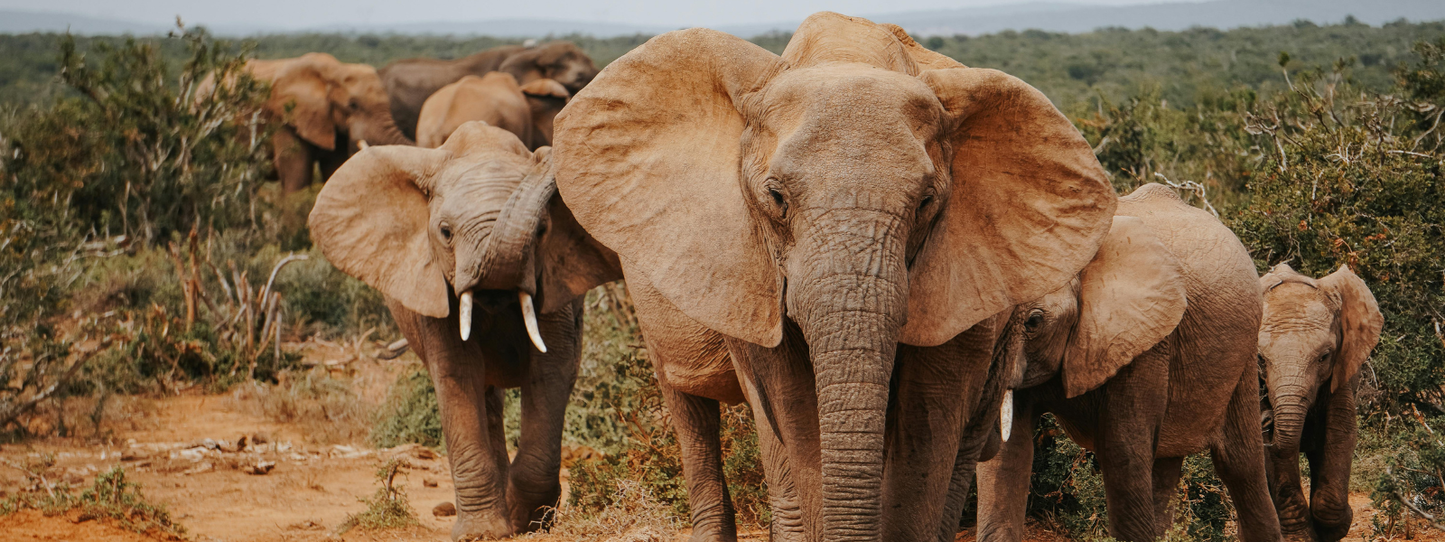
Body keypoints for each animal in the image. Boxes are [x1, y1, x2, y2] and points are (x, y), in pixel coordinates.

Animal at [307, 122, 620, 540]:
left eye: (542, 230)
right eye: (445, 232)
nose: (548, 155)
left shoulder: (553, 284)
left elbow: (551, 370)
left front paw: (526, 522)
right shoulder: (434, 287)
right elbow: (457, 375)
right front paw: (483, 533)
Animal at [974, 183, 1282, 542]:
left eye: (1033, 322)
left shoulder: (1147, 339)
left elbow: (1122, 451)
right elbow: (1009, 455)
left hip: (1243, 352)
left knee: (1239, 463)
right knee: (1165, 463)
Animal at [1258, 263, 1382, 542]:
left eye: (1324, 357)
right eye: (1260, 359)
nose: (1267, 418)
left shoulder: (1342, 369)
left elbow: (1341, 432)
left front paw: (1338, 525)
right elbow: (1277, 456)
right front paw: (1301, 537)